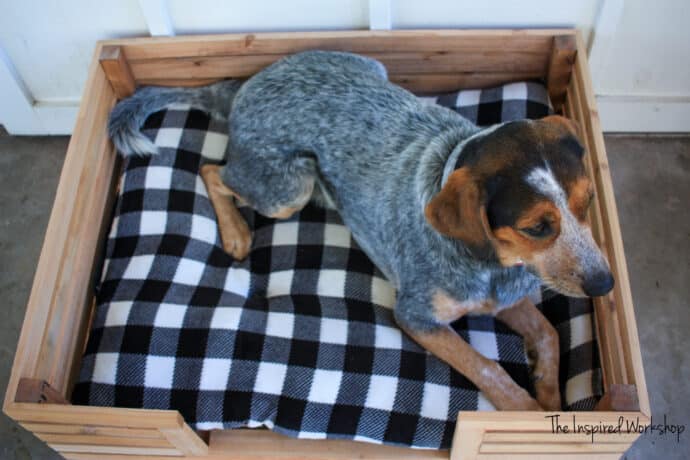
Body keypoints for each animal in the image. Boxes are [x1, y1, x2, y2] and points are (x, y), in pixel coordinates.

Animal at [109, 50, 612, 410]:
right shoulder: (416, 317)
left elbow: (548, 334)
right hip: (289, 191)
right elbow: (489, 369)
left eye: (588, 202)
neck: (494, 263)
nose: (605, 284)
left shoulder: (507, 297)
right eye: (537, 226)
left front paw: (548, 391)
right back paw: (234, 232)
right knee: (212, 170)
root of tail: (243, 88)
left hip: (371, 70)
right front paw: (527, 412)